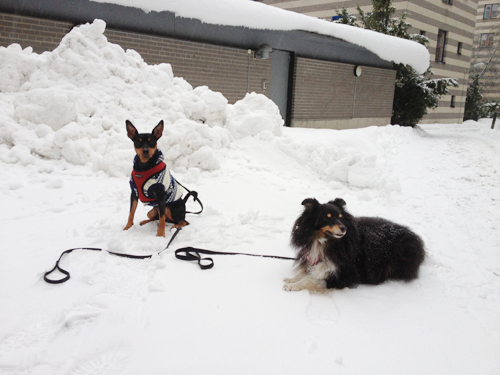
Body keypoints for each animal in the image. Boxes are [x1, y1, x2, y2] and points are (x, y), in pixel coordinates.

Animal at [284, 198, 424, 296]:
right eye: (326, 217)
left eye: (340, 217)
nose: (344, 228)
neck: (326, 243)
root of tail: (416, 238)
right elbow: (303, 271)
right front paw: (291, 280)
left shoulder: (344, 274)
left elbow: (311, 279)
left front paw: (293, 286)